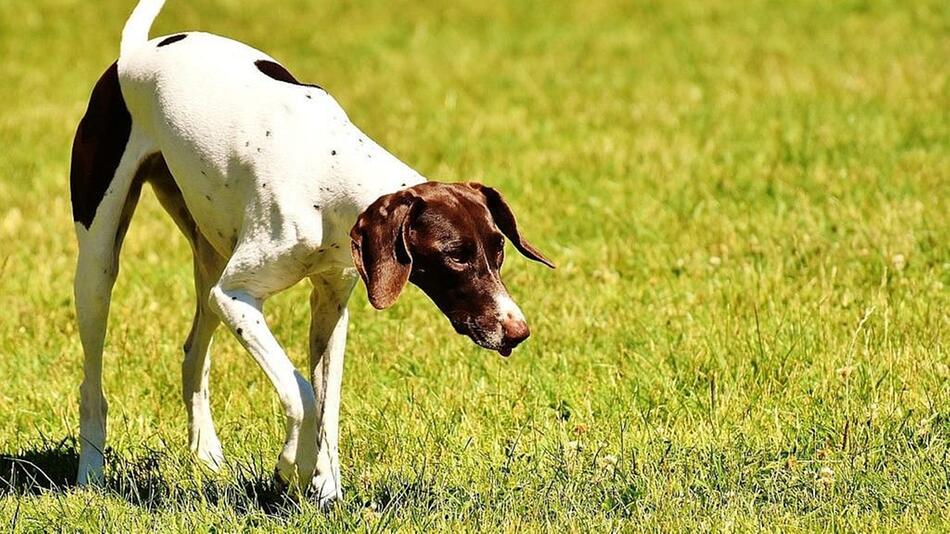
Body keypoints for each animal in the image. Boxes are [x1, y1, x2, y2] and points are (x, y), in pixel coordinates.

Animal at [70, 0, 556, 504]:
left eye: (498, 251)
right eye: (456, 255)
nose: (517, 331)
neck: (330, 170)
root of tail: (133, 55)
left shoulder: (330, 307)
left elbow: (327, 408)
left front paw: (326, 489)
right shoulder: (237, 298)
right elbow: (301, 393)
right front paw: (292, 464)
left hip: (209, 259)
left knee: (192, 356)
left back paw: (205, 451)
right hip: (101, 267)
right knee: (93, 381)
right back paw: (91, 472)